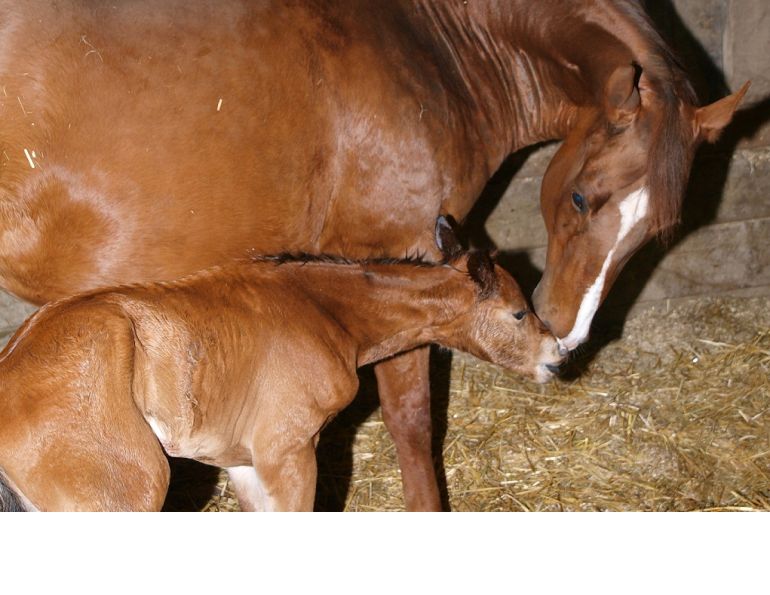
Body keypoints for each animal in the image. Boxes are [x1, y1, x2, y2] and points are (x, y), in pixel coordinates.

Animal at [0, 217, 563, 511]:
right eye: (518, 312)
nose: (556, 356)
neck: (322, 309)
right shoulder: (287, 450)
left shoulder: (244, 462)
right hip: (124, 491)